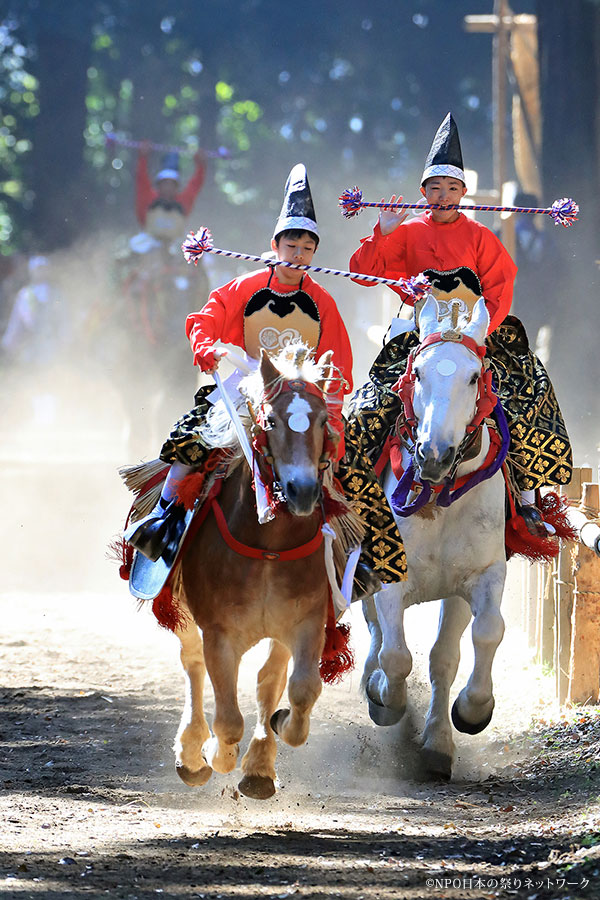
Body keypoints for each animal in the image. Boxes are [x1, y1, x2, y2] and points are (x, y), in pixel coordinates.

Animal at [169, 342, 346, 800]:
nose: (302, 490)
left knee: (270, 678)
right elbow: (228, 719)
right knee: (192, 662)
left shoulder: (306, 621)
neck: (270, 547)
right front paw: (215, 754)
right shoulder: (219, 633)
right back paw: (192, 753)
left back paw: (259, 767)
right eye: (271, 420)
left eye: (324, 420)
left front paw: (274, 736)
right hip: (181, 610)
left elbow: (300, 690)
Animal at [364, 298, 508, 780]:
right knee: (377, 634)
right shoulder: (388, 573)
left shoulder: (482, 575)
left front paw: (472, 710)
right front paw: (384, 698)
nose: (434, 454)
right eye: (420, 373)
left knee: (443, 655)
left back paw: (437, 743)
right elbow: (395, 655)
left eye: (473, 376)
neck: (440, 498)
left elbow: (485, 633)